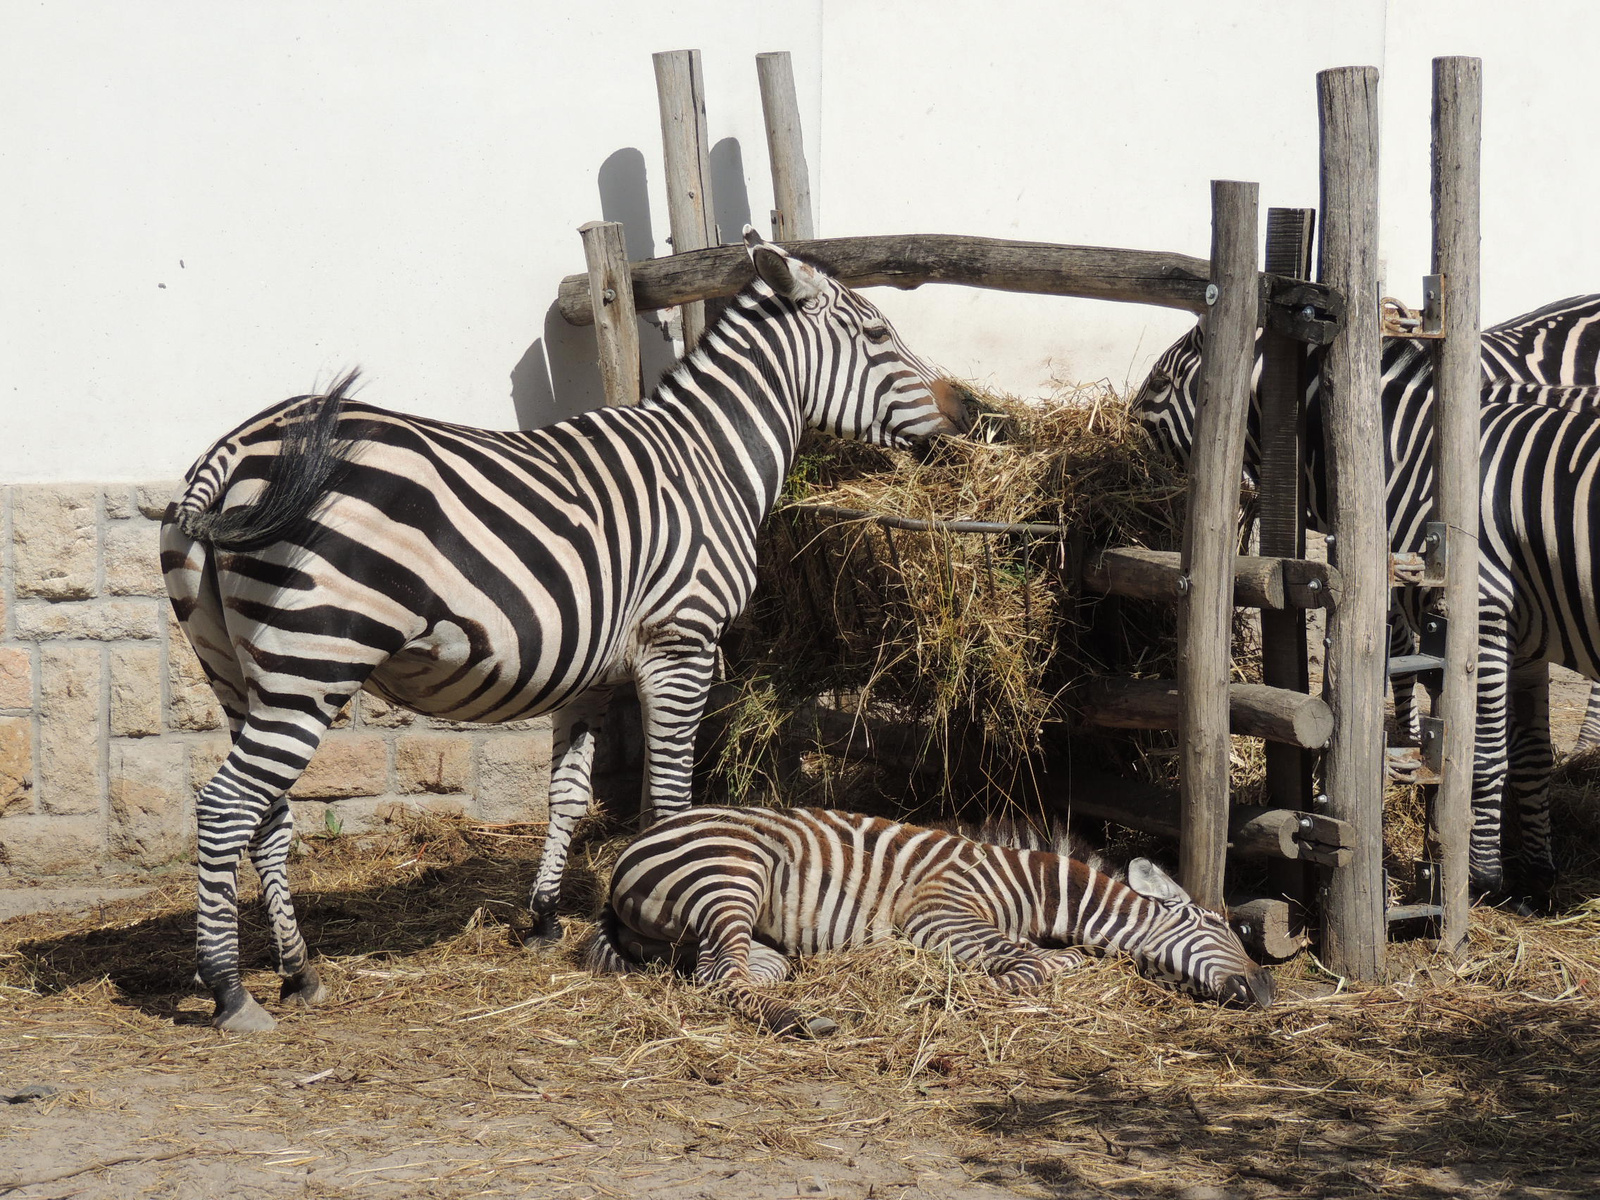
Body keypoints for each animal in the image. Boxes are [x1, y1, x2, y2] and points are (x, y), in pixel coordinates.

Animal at [162, 232, 966, 1036]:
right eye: (877, 334)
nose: (968, 407)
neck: (710, 464)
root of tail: (236, 446)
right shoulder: (681, 641)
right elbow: (668, 797)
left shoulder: (588, 674)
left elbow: (569, 796)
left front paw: (545, 919)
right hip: (313, 659)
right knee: (227, 806)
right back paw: (230, 990)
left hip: (234, 669)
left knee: (266, 815)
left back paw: (299, 973)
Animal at [588, 803, 1273, 1036]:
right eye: (1219, 928)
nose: (1266, 991)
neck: (1032, 886)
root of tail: (631, 847)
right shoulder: (941, 912)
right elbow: (1033, 963)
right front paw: (971, 991)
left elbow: (1061, 958)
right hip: (732, 876)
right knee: (721, 980)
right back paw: (808, 1021)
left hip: (745, 934)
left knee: (721, 972)